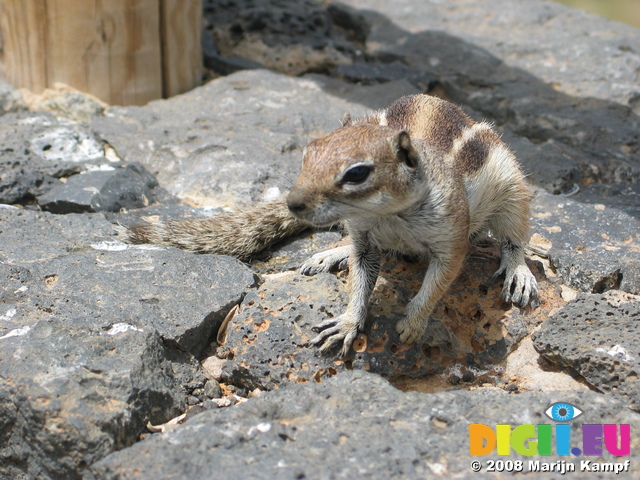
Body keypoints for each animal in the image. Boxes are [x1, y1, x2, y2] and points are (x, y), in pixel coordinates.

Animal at [117, 94, 536, 356]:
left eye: (357, 173)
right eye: (308, 152)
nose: (294, 202)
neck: (390, 213)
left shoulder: (450, 237)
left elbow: (436, 285)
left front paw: (413, 324)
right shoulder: (364, 236)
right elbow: (360, 276)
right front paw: (349, 322)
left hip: (513, 187)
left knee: (514, 238)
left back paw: (519, 272)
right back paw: (332, 254)